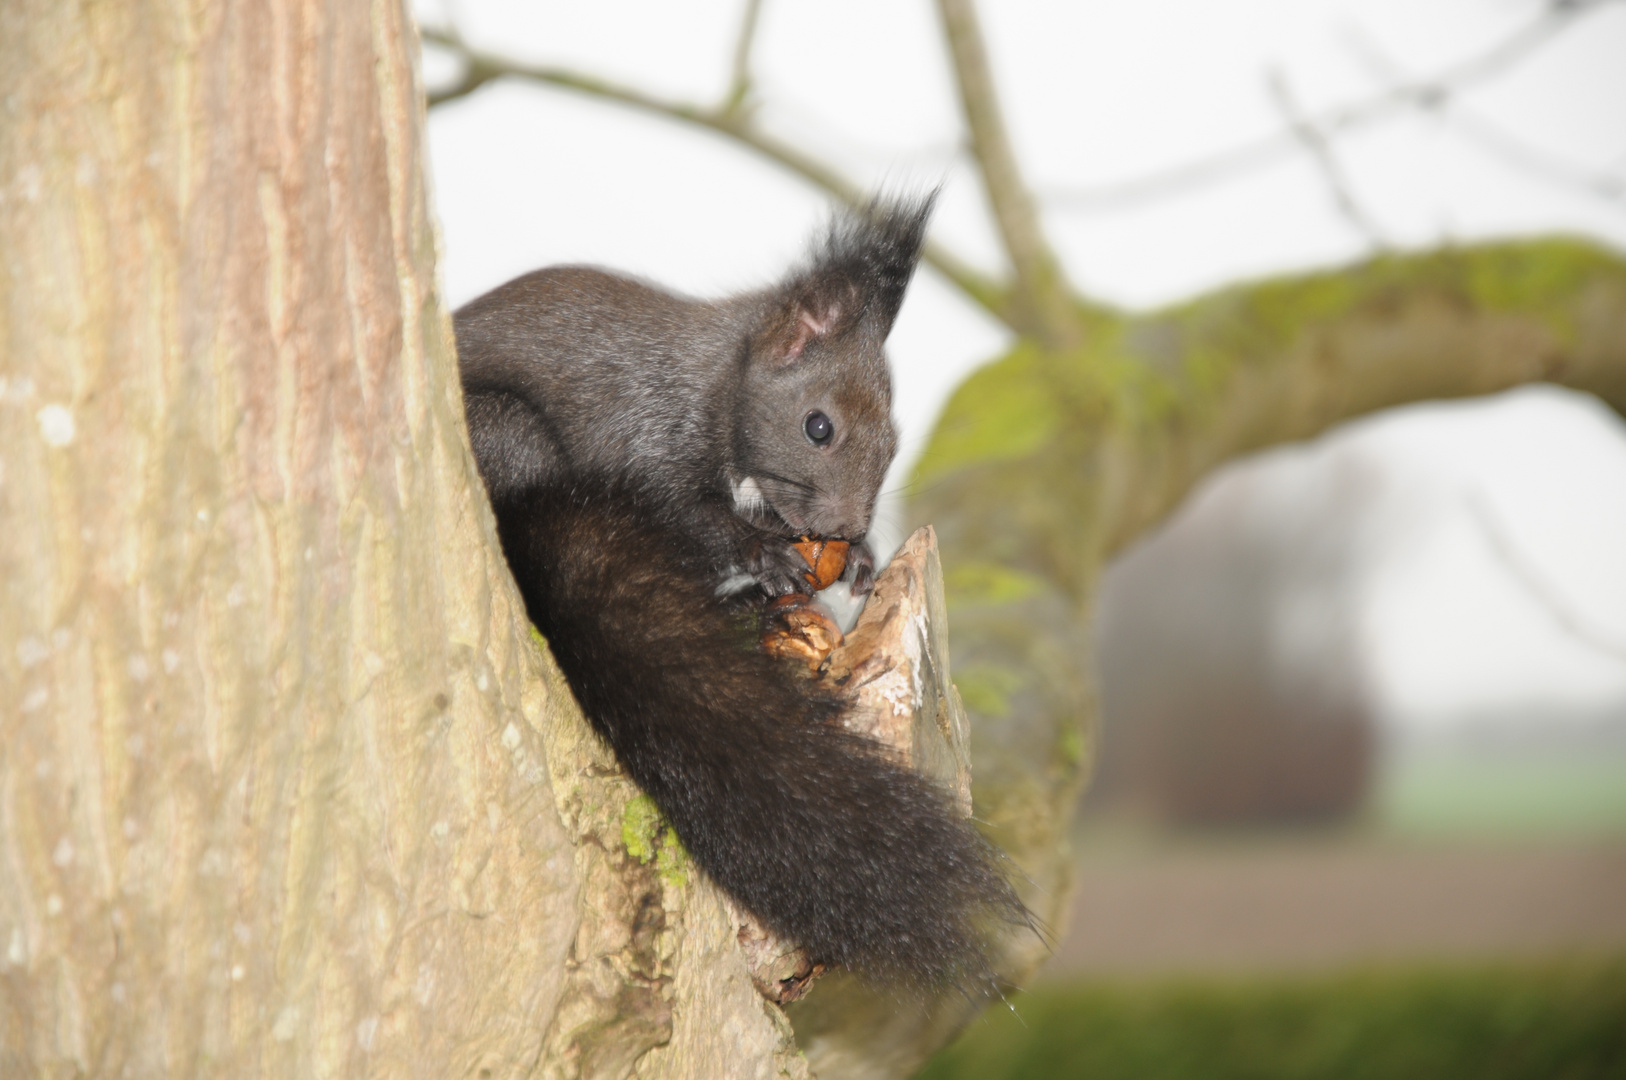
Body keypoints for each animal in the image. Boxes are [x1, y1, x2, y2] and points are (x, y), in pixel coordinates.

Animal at [452, 194, 1021, 988]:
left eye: (894, 444)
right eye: (818, 425)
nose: (845, 527)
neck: (716, 384)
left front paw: (855, 559)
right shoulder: (643, 439)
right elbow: (692, 517)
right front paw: (765, 555)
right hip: (507, 436)